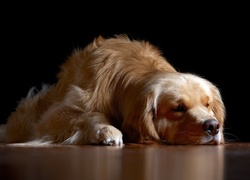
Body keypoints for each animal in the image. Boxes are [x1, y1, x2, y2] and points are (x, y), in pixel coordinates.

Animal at [0, 34, 227, 146]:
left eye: (208, 105)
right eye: (178, 108)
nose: (213, 127)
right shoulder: (54, 116)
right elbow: (90, 114)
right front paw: (106, 130)